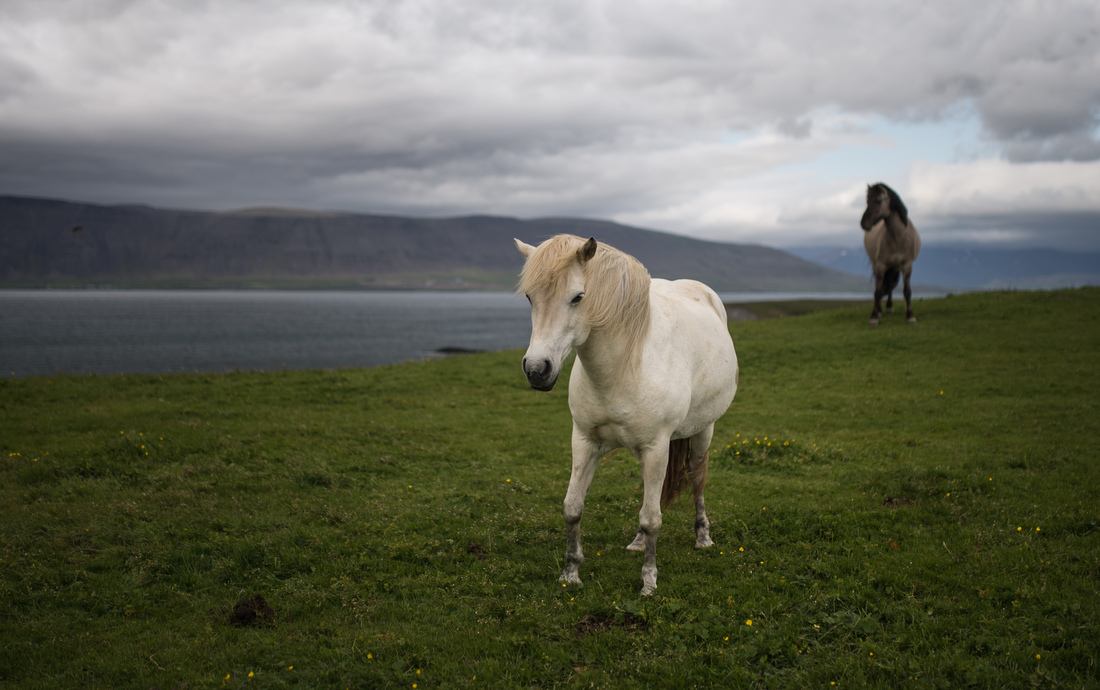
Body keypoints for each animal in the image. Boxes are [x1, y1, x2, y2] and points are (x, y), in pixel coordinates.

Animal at [514, 234, 738, 596]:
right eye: (530, 296)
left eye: (578, 297)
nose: (537, 370)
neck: (622, 367)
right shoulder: (585, 441)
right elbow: (573, 507)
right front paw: (570, 572)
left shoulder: (657, 447)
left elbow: (653, 517)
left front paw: (648, 581)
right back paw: (637, 541)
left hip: (703, 430)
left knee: (697, 477)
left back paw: (703, 536)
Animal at [860, 182, 922, 325]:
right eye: (867, 201)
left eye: (878, 200)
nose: (863, 224)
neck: (898, 237)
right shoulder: (880, 266)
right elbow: (877, 291)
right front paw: (874, 316)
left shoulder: (907, 265)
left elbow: (907, 291)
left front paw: (910, 316)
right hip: (877, 265)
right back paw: (880, 310)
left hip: (894, 267)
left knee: (891, 285)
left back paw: (889, 307)